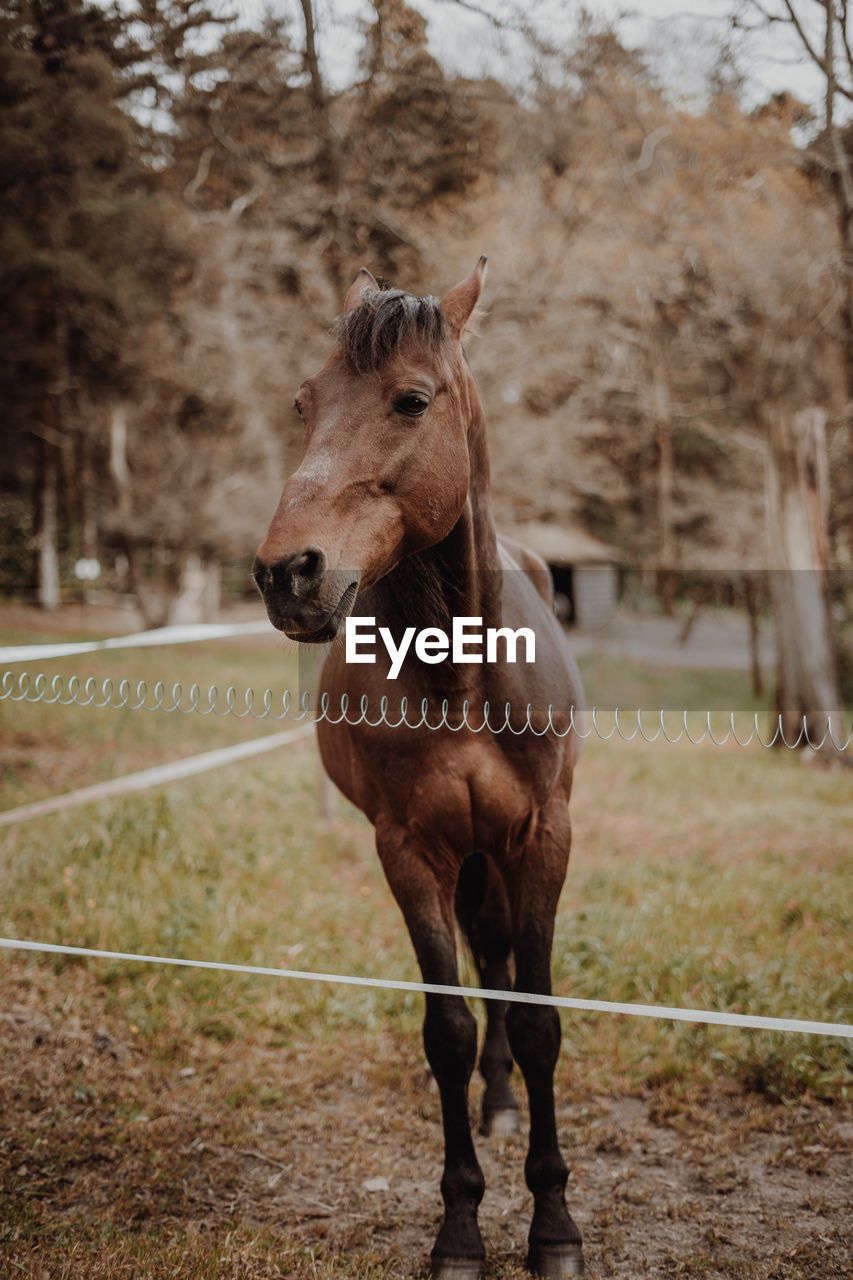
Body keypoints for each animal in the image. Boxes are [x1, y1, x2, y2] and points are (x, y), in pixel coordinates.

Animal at [252, 262, 584, 1280]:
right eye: (305, 403)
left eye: (409, 400)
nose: (286, 573)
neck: (459, 675)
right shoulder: (409, 852)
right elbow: (450, 1029)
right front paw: (461, 1229)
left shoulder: (542, 839)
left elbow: (537, 1016)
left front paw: (553, 1227)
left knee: (502, 959)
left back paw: (507, 1107)